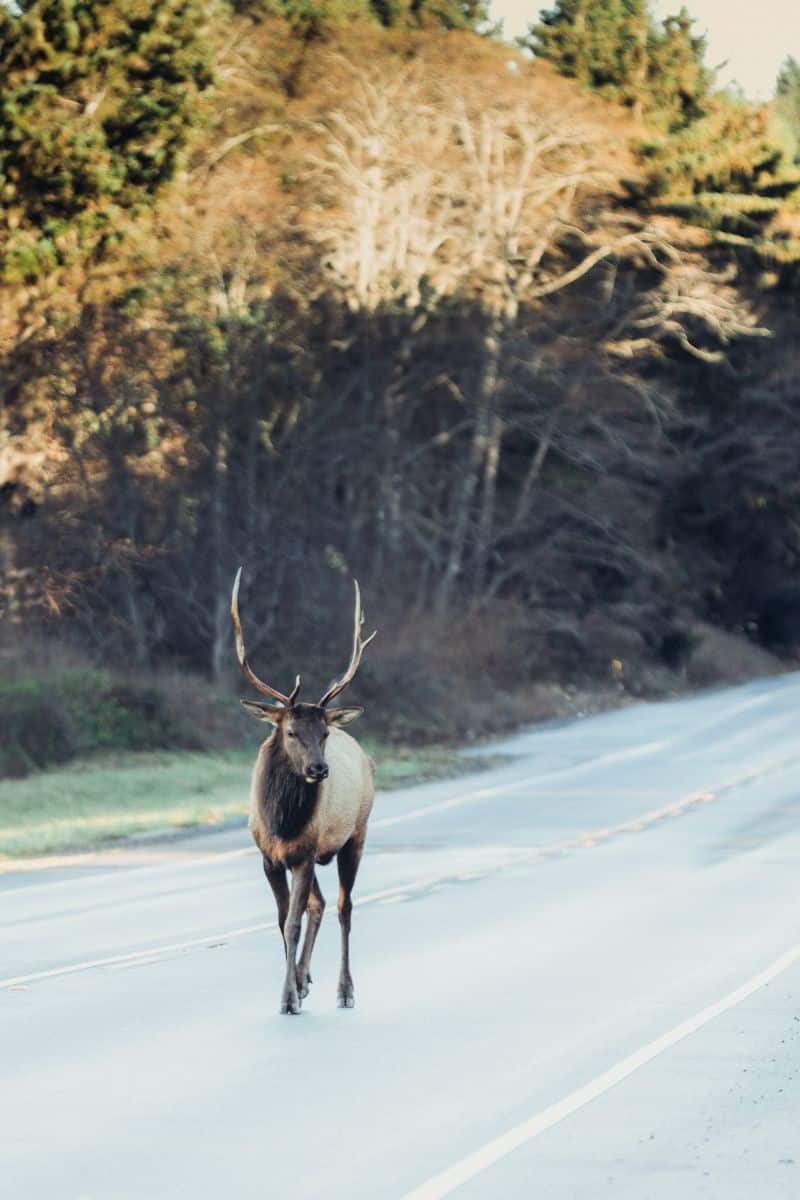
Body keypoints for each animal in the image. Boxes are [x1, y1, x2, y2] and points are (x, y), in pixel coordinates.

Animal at [231, 568, 379, 1012]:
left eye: (324, 732)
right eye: (291, 731)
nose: (319, 769)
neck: (281, 821)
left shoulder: (305, 853)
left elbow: (293, 922)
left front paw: (288, 998)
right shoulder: (271, 857)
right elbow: (283, 921)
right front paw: (295, 986)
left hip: (355, 836)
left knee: (344, 906)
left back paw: (344, 989)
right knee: (322, 903)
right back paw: (306, 977)